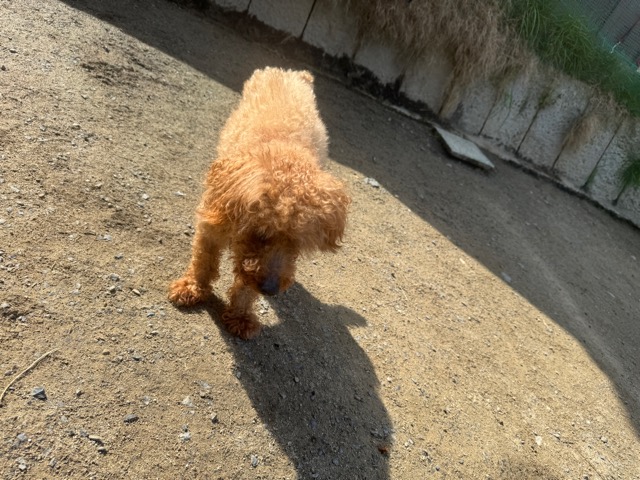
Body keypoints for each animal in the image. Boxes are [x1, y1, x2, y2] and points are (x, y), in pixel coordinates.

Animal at [168, 67, 350, 339]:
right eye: (261, 234)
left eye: (297, 245)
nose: (271, 290)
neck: (284, 152)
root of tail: (290, 72)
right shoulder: (211, 225)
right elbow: (203, 261)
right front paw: (192, 288)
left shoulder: (255, 268)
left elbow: (246, 286)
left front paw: (241, 317)